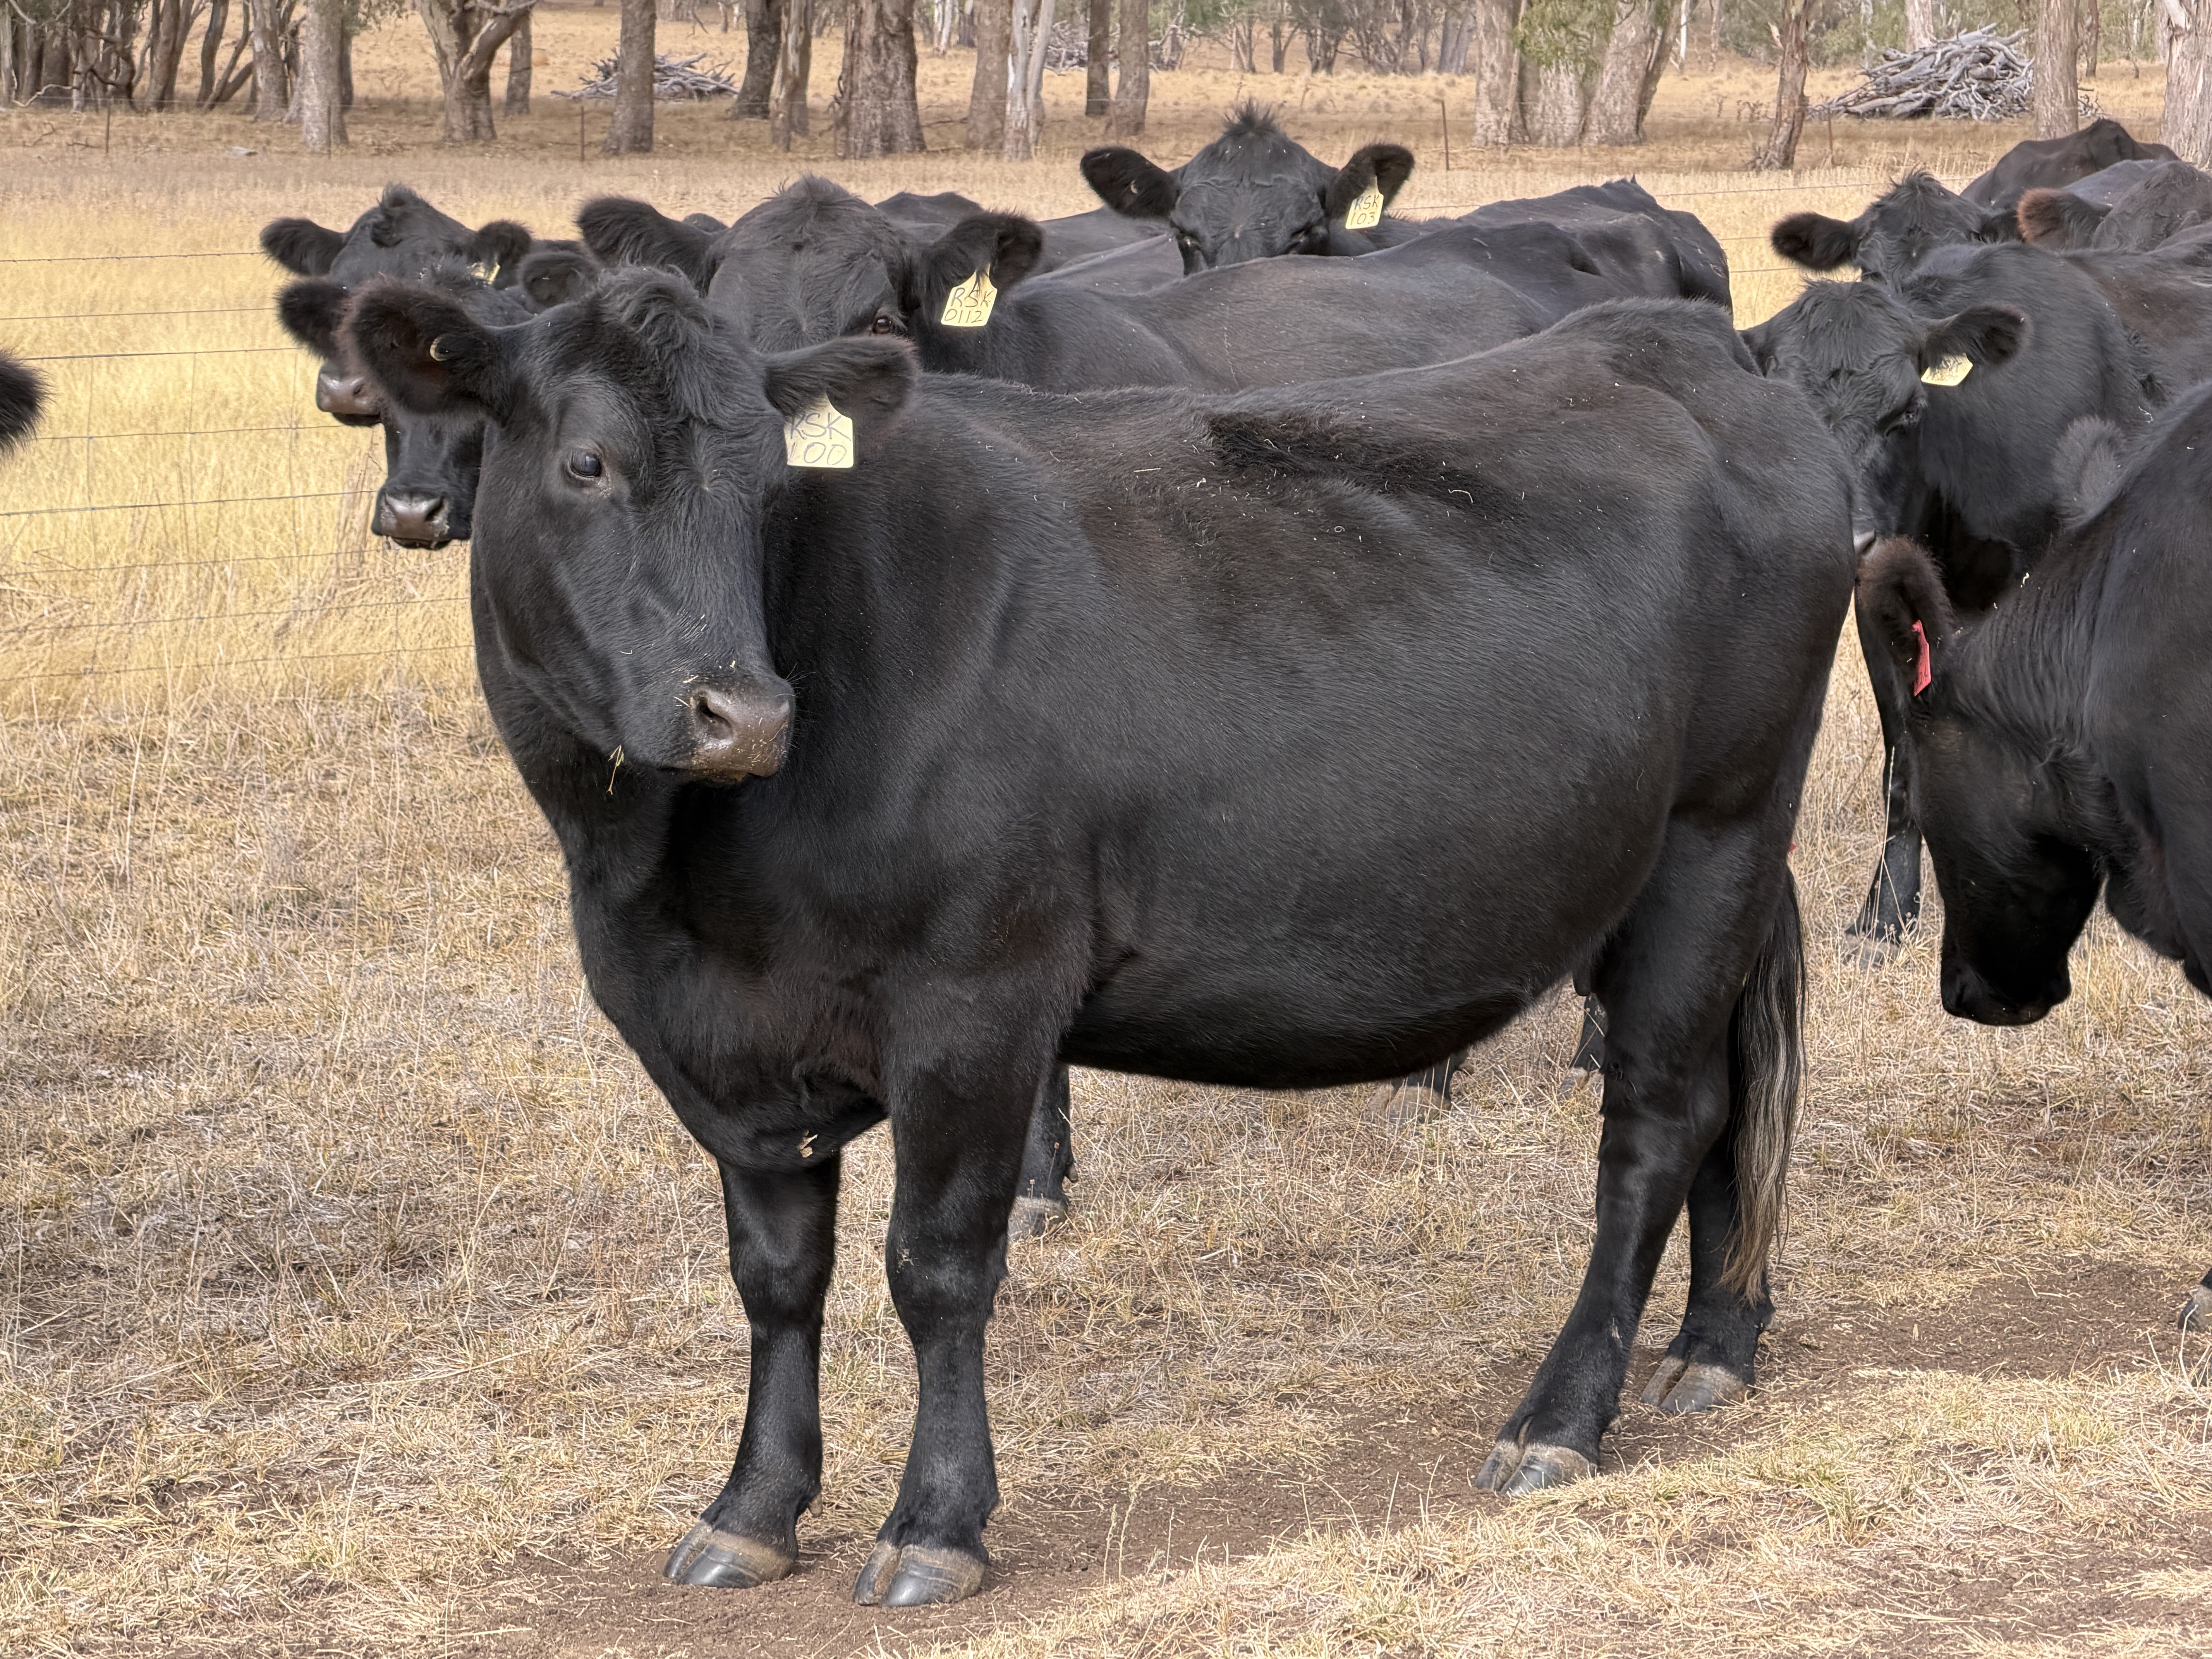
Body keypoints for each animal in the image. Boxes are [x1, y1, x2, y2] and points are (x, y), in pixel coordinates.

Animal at [343, 268, 1852, 1603]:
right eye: (587, 464)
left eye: (770, 484)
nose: (744, 712)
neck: (661, 887)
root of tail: (1695, 347)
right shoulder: (738, 1041)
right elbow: (775, 1279)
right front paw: (751, 1511)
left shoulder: (977, 993)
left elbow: (936, 1265)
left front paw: (935, 1526)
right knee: (1727, 1099)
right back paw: (1713, 1347)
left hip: (1712, 836)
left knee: (1655, 1126)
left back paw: (1557, 1417)